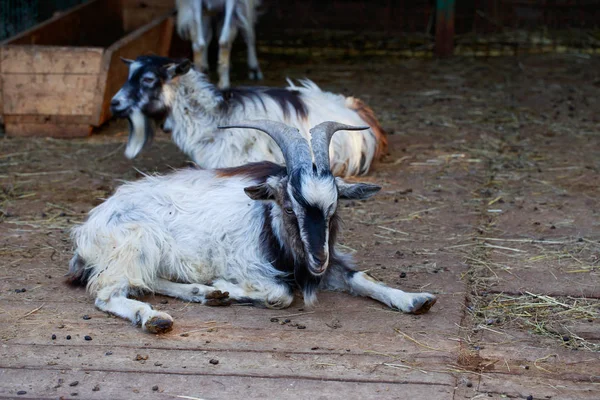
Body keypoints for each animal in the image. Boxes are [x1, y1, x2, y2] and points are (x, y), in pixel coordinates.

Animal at [67, 119, 436, 334]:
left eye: (334, 207)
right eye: (288, 207)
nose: (318, 260)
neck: (269, 225)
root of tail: (88, 227)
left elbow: (361, 277)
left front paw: (413, 299)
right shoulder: (245, 264)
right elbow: (280, 294)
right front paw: (228, 287)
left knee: (149, 281)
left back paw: (205, 294)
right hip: (134, 243)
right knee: (108, 292)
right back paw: (155, 318)